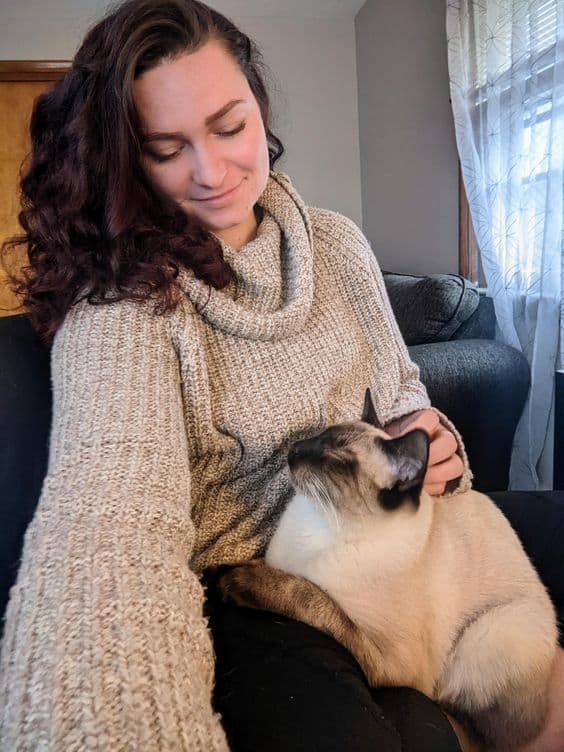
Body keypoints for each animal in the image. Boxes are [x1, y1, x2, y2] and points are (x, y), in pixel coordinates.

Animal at [218, 390, 556, 748]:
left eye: (337, 459)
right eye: (317, 436)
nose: (294, 450)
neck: (324, 523)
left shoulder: (386, 659)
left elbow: (310, 595)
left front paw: (237, 581)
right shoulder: (277, 560)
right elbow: (272, 569)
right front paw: (229, 569)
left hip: (487, 634)